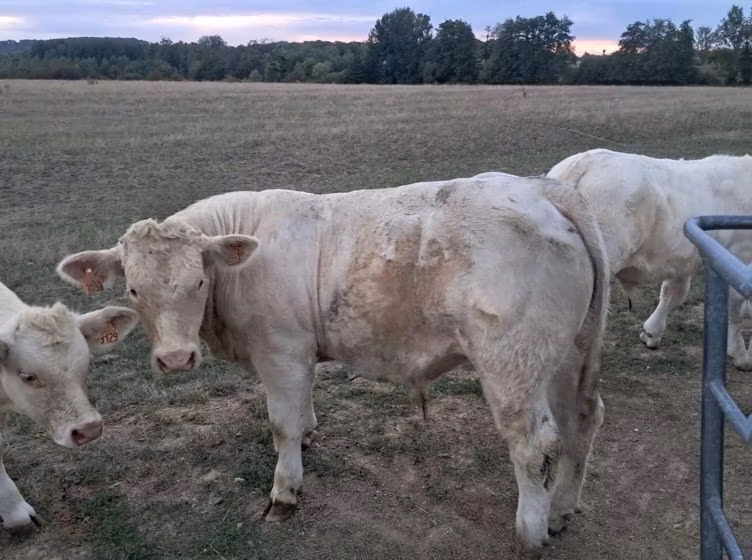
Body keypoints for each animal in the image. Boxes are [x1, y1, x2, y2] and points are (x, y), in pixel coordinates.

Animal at [56, 174, 609, 551]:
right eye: (133, 289)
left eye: (198, 282)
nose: (175, 358)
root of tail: (542, 190)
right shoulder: (299, 354)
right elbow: (301, 411)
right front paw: (308, 436)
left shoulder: (280, 352)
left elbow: (280, 423)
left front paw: (284, 492)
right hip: (565, 355)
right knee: (581, 422)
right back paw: (561, 511)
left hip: (512, 364)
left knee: (535, 445)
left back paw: (530, 531)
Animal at [547, 148, 752, 371]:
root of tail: (585, 160)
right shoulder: (737, 258)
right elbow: (735, 308)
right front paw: (742, 355)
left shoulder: (683, 260)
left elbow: (673, 293)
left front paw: (652, 333)